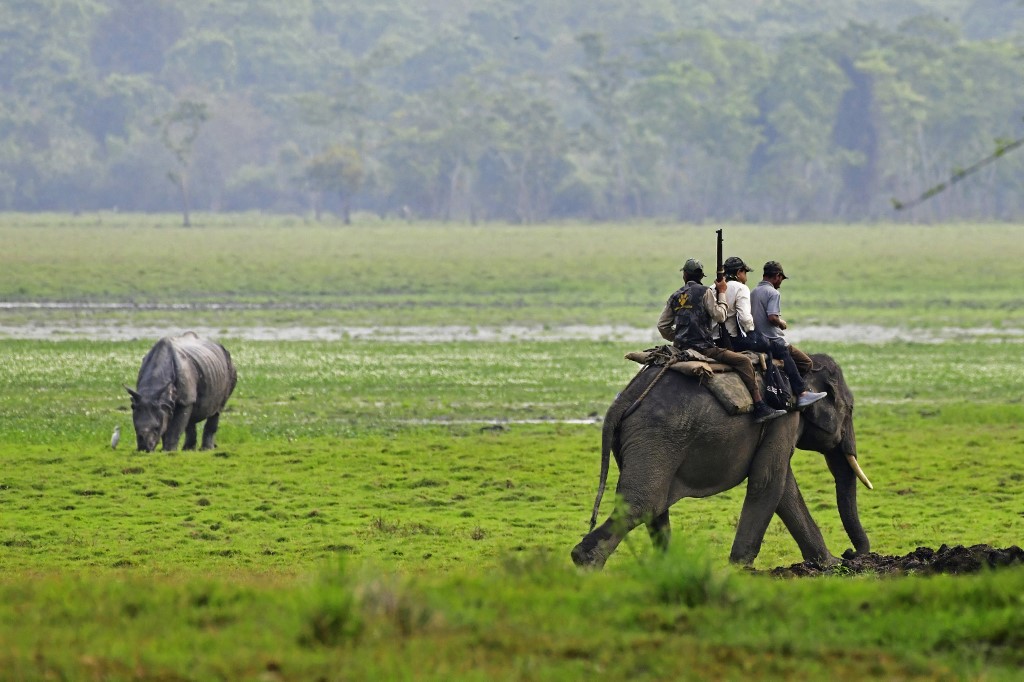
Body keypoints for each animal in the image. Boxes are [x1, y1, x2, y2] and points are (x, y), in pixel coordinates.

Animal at [573, 352, 868, 565]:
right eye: (851, 408)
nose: (850, 554)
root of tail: (625, 398)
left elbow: (784, 488)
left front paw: (829, 565)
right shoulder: (785, 415)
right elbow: (768, 481)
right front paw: (740, 568)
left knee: (654, 506)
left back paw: (668, 566)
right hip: (657, 435)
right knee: (643, 503)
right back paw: (586, 564)